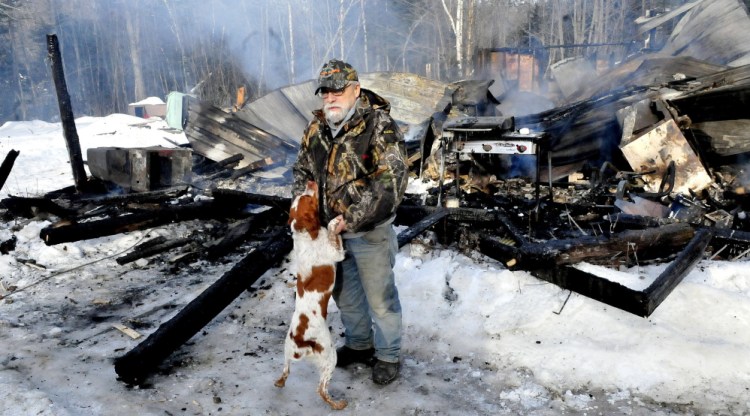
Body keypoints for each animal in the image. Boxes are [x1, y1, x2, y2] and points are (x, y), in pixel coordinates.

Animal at [274, 180, 348, 410]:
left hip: (287, 352)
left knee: (285, 371)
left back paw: (279, 383)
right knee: (321, 390)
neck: (306, 234)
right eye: (308, 198)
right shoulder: (336, 254)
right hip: (330, 356)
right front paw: (336, 221)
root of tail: (300, 341)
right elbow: (334, 233)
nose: (311, 181)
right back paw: (338, 404)